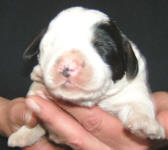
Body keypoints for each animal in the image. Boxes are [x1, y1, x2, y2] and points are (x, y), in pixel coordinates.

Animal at [8, 6, 165, 147]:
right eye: (53, 44)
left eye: (102, 48)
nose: (68, 65)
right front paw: (25, 131)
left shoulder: (132, 91)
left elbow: (138, 104)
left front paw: (145, 123)